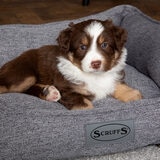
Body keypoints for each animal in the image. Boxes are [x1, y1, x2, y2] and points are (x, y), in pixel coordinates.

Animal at [0, 19, 142, 110]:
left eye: (104, 45)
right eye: (82, 47)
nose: (96, 63)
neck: (95, 76)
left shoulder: (113, 76)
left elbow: (119, 85)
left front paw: (134, 96)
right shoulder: (66, 90)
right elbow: (86, 106)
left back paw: (49, 92)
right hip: (25, 75)